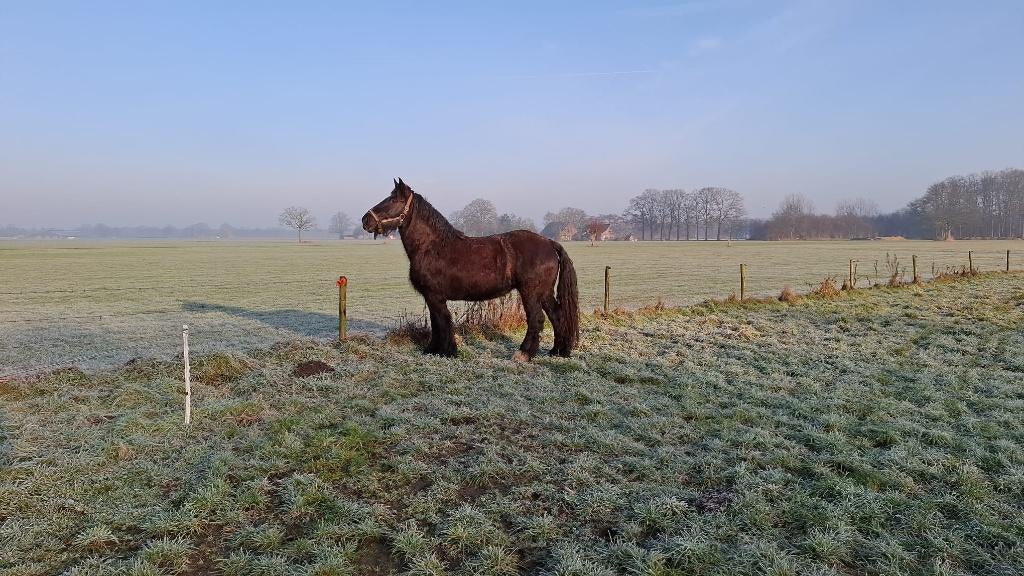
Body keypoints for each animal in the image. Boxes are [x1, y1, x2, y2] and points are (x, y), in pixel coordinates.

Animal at [362, 178, 579, 360]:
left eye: (392, 200)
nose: (365, 220)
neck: (433, 246)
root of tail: (549, 242)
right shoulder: (431, 297)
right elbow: (435, 323)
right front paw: (433, 349)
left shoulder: (435, 296)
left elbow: (442, 322)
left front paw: (446, 351)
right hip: (544, 293)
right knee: (557, 316)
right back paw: (558, 351)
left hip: (531, 292)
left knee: (536, 319)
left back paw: (524, 354)